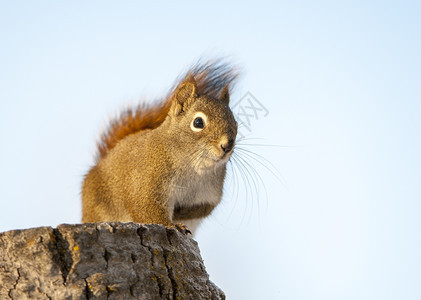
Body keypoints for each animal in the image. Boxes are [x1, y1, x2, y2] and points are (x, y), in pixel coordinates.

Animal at [81, 60, 240, 234]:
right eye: (198, 122)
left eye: (235, 123)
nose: (227, 145)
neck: (194, 167)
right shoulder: (145, 185)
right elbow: (148, 211)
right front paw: (172, 225)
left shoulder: (209, 195)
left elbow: (203, 209)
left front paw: (181, 214)